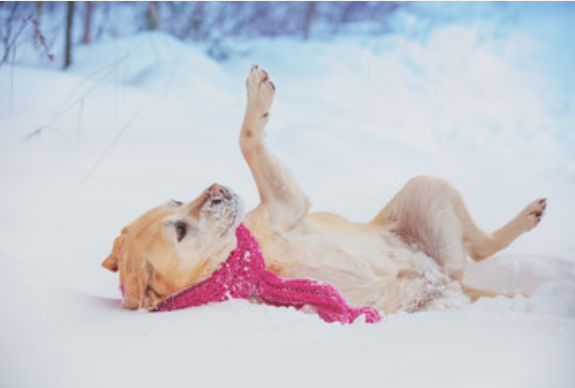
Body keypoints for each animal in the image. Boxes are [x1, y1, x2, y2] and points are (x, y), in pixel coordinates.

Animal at [101, 66, 548, 316]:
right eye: (180, 231)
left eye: (176, 200)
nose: (217, 188)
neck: (246, 260)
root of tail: (445, 280)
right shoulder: (287, 203)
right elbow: (249, 138)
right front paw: (258, 97)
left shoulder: (283, 207)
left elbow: (248, 140)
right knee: (481, 250)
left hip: (427, 189)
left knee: (479, 246)